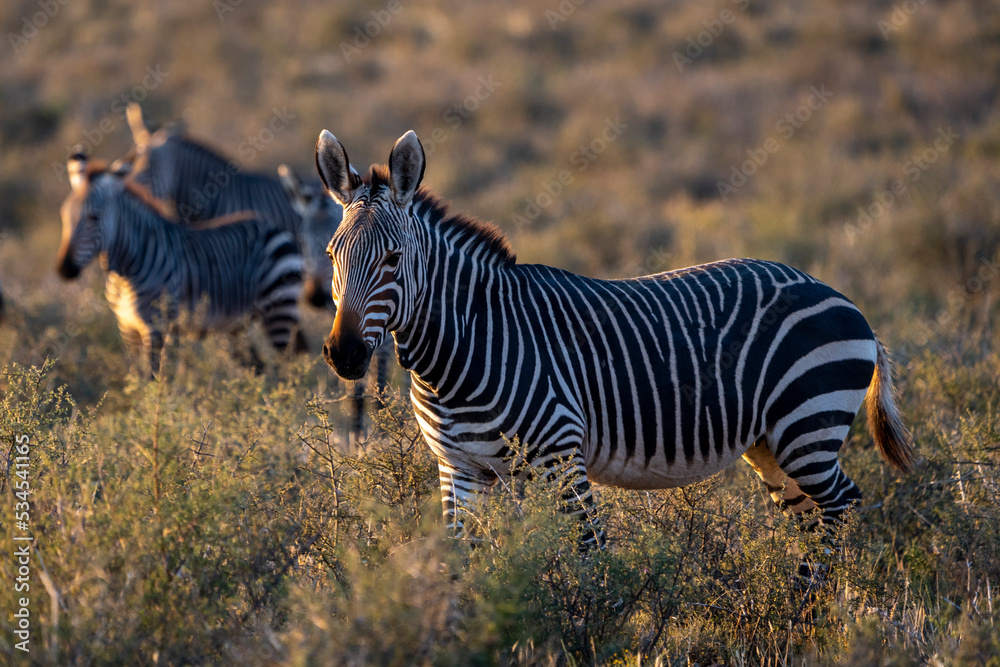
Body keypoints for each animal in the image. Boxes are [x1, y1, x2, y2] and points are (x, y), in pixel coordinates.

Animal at [57, 152, 305, 373]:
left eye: (93, 217)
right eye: (64, 215)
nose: (64, 270)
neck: (126, 271)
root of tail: (273, 225)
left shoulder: (155, 327)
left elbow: (151, 379)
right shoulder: (127, 328)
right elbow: (135, 378)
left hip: (280, 307)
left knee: (289, 369)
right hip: (236, 324)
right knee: (258, 367)